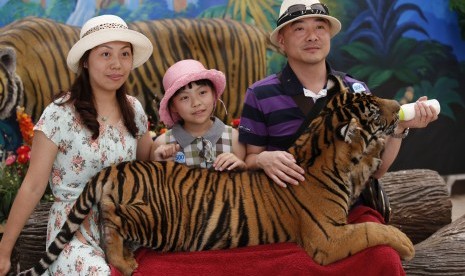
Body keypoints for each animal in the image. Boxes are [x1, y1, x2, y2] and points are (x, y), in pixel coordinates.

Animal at [18, 75, 414, 276]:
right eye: (373, 109)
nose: (400, 108)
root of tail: (117, 167)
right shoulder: (328, 237)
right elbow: (370, 230)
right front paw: (405, 243)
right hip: (158, 220)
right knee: (112, 226)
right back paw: (126, 262)